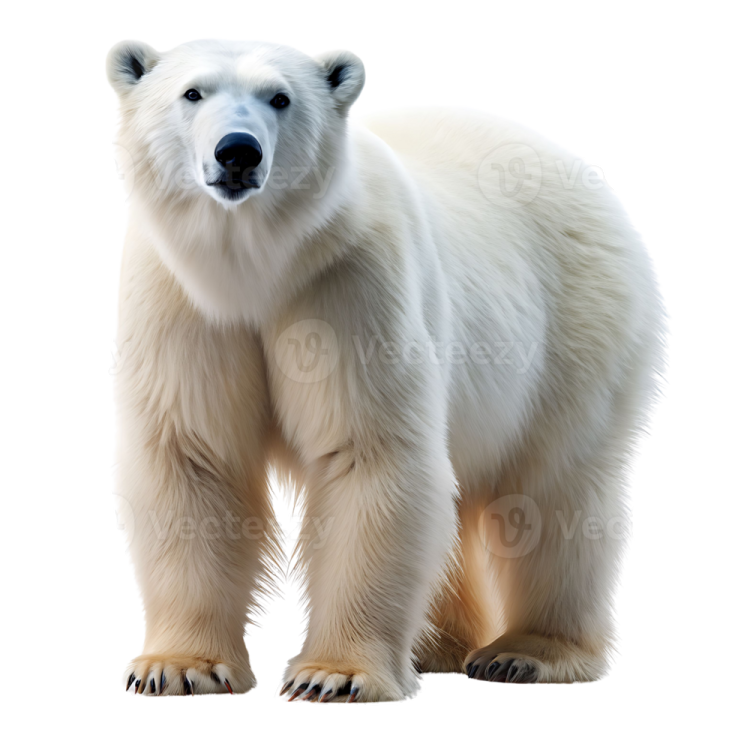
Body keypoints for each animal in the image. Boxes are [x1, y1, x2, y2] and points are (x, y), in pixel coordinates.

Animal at [105, 37, 670, 703]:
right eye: (192, 92)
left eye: (280, 97)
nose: (237, 151)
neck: (257, 269)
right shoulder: (182, 301)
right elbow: (194, 456)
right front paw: (178, 666)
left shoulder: (350, 281)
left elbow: (368, 454)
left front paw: (336, 676)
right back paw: (440, 645)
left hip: (579, 328)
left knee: (555, 489)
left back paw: (526, 653)